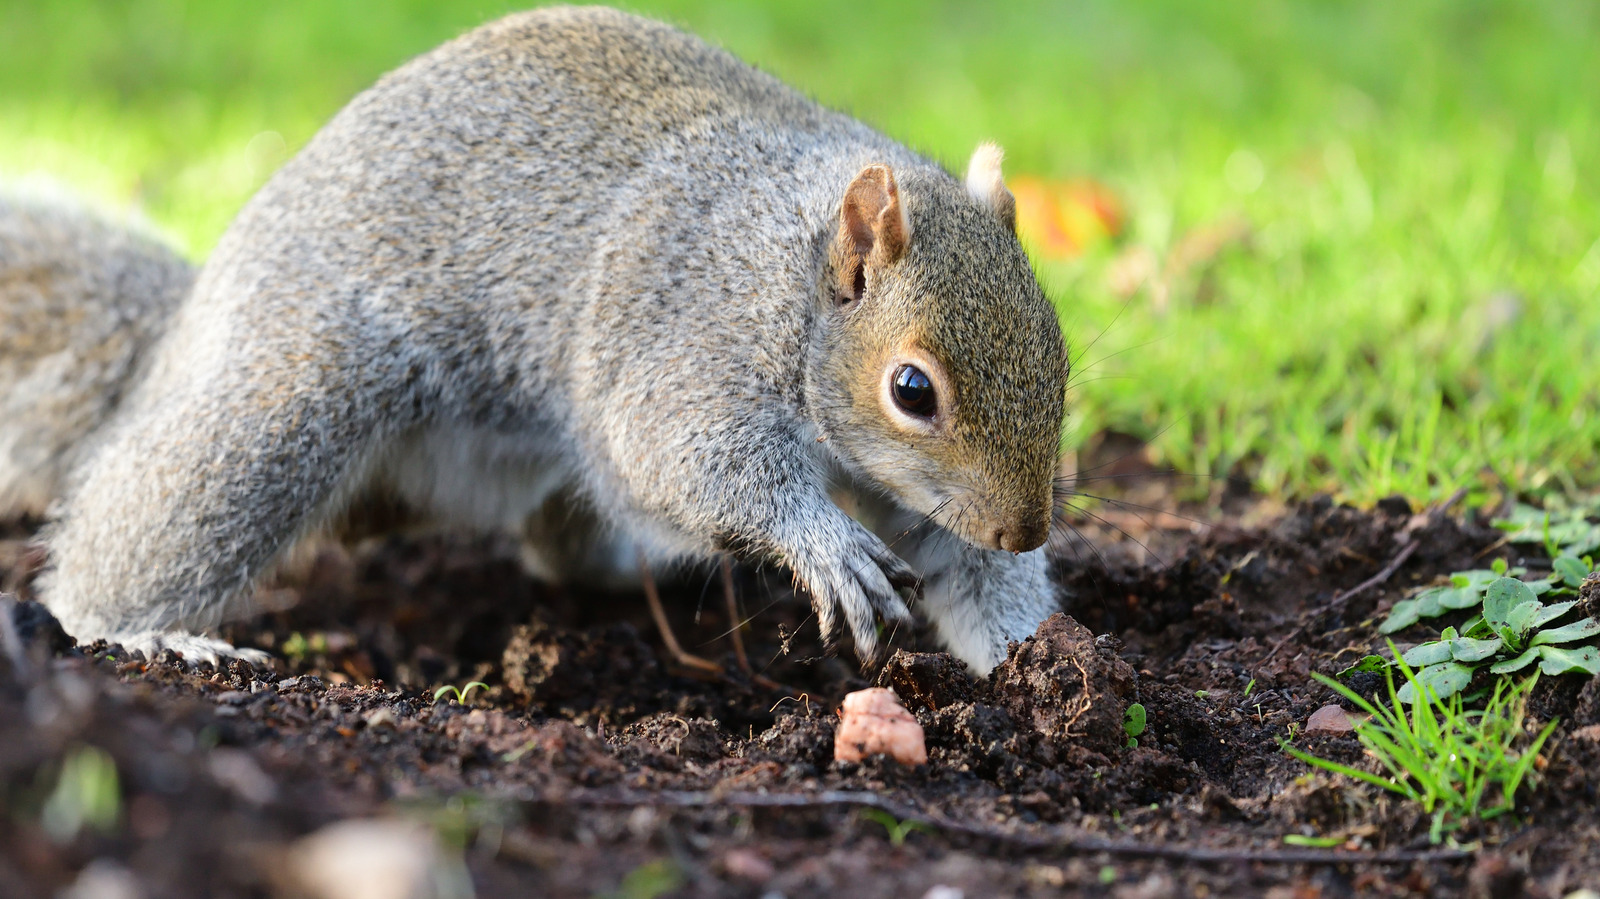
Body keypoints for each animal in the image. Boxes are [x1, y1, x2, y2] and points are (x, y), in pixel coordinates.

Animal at [6, 6, 1070, 674]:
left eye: (1060, 354)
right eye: (911, 389)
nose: (1026, 528)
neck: (790, 276)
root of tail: (190, 322)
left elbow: (963, 567)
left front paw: (1031, 657)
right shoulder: (688, 332)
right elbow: (688, 455)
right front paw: (825, 544)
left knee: (561, 542)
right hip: (293, 392)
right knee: (152, 517)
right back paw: (139, 634)